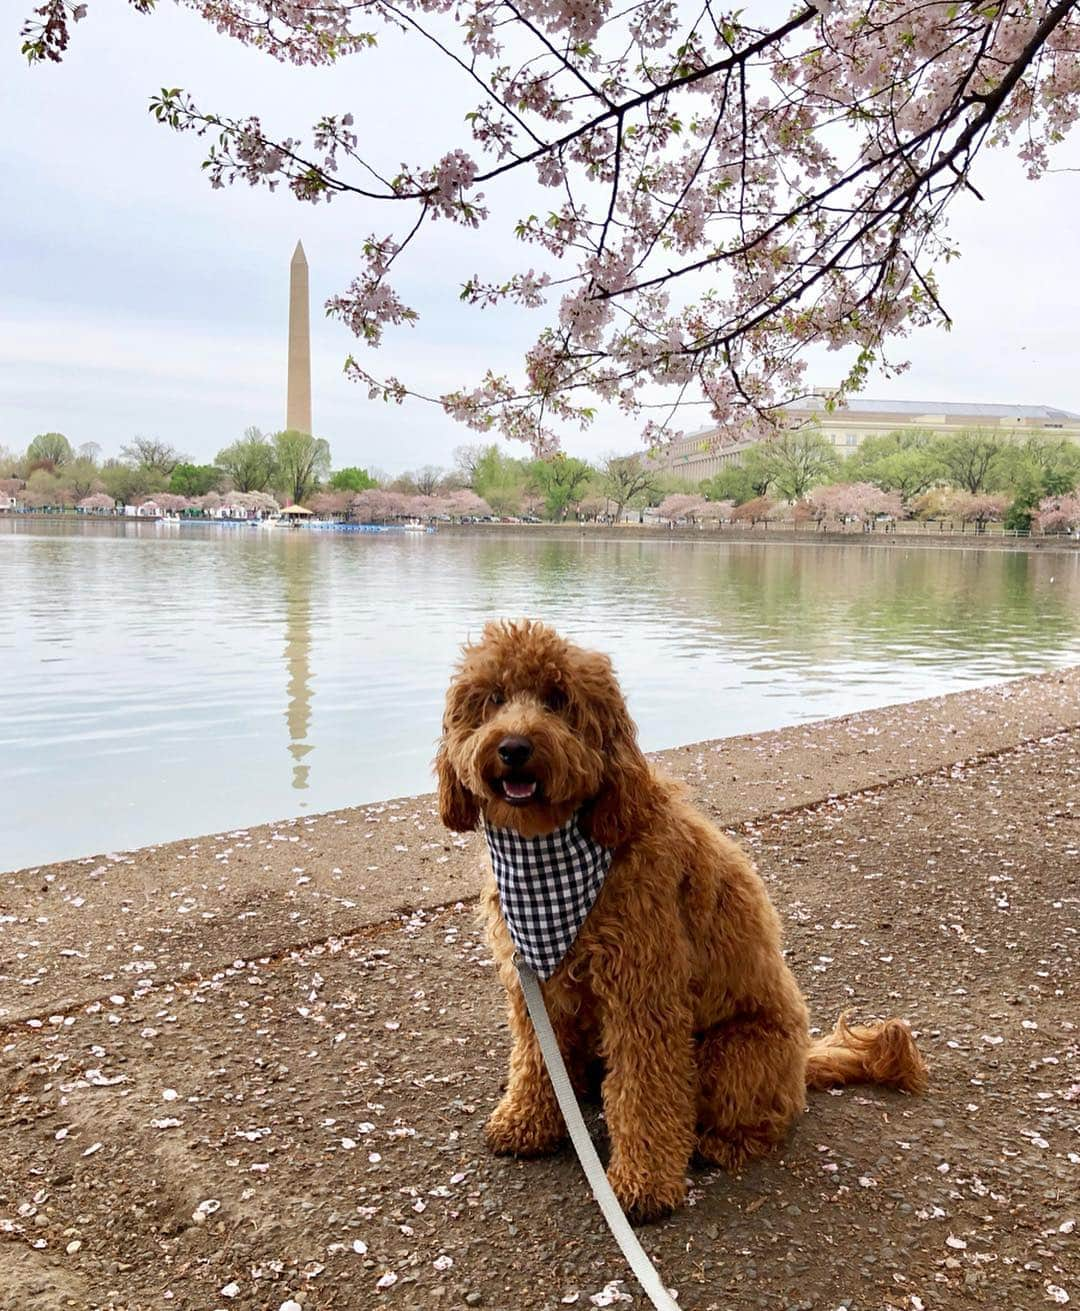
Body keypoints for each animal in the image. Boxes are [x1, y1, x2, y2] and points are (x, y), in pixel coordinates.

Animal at [435, 618, 922, 1221]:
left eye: (558, 699)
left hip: (730, 1054)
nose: (513, 748)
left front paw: (643, 1184)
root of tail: (803, 1061)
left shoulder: (643, 993)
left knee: (759, 1118)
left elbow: (645, 1093)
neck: (546, 851)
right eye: (494, 699)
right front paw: (526, 1122)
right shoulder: (535, 986)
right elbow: (536, 1059)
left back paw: (720, 1144)